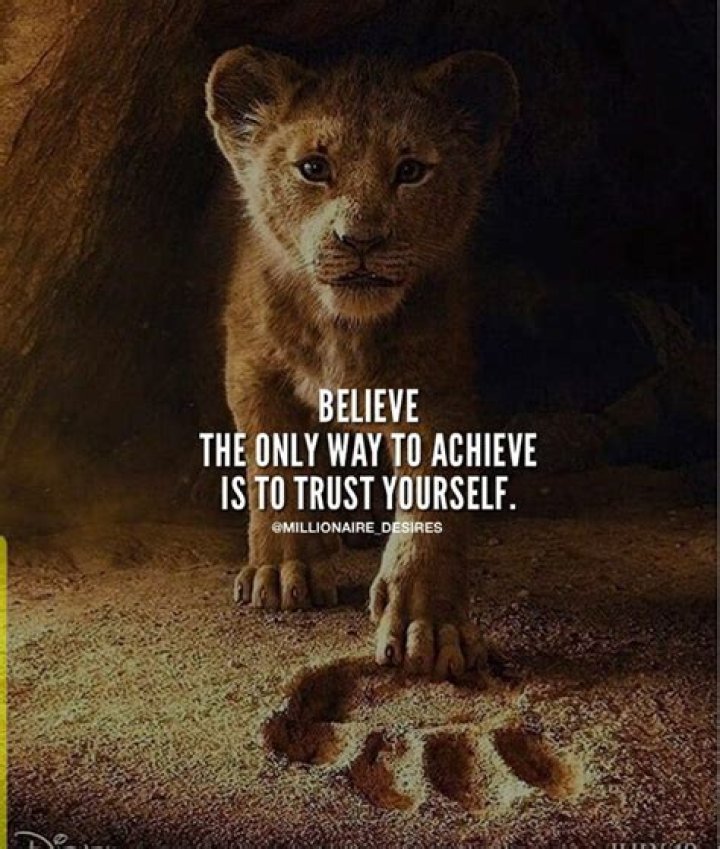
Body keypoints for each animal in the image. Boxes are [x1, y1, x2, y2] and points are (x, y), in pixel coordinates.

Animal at [205, 47, 519, 678]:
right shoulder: (252, 364)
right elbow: (276, 469)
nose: (362, 241)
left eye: (411, 171)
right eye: (313, 168)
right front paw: (284, 570)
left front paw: (430, 624)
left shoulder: (436, 385)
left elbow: (434, 508)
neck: (344, 329)